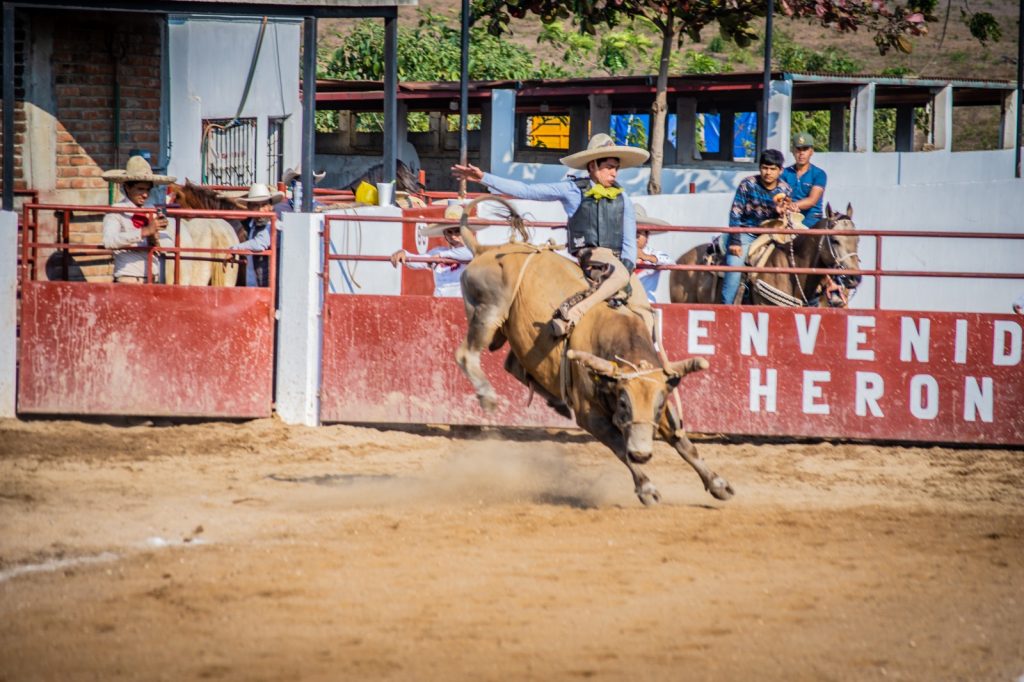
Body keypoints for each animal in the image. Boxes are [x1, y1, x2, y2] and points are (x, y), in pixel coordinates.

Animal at [454, 196, 734, 506]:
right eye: (623, 403)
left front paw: (718, 483)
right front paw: (646, 488)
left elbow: (682, 441)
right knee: (466, 354)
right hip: (488, 313)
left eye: (658, 403)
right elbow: (619, 447)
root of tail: (485, 250)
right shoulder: (590, 416)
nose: (642, 454)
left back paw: (555, 400)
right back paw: (487, 396)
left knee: (513, 365)